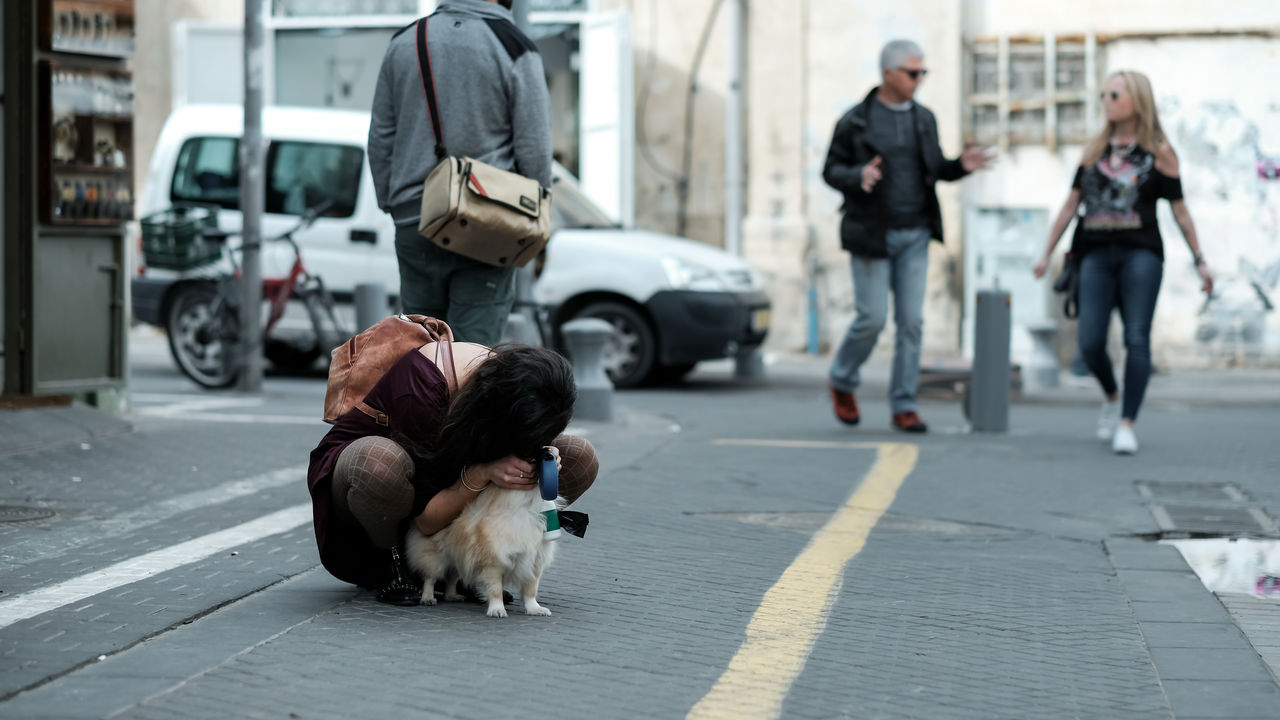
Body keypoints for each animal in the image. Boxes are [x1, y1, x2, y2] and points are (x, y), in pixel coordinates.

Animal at [404, 484, 555, 614]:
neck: (524, 508)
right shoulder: (493, 563)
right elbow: (496, 590)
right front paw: (497, 609)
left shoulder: (535, 562)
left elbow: (531, 590)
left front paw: (535, 609)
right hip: (435, 559)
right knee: (430, 578)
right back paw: (428, 598)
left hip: (459, 557)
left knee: (452, 577)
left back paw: (452, 596)